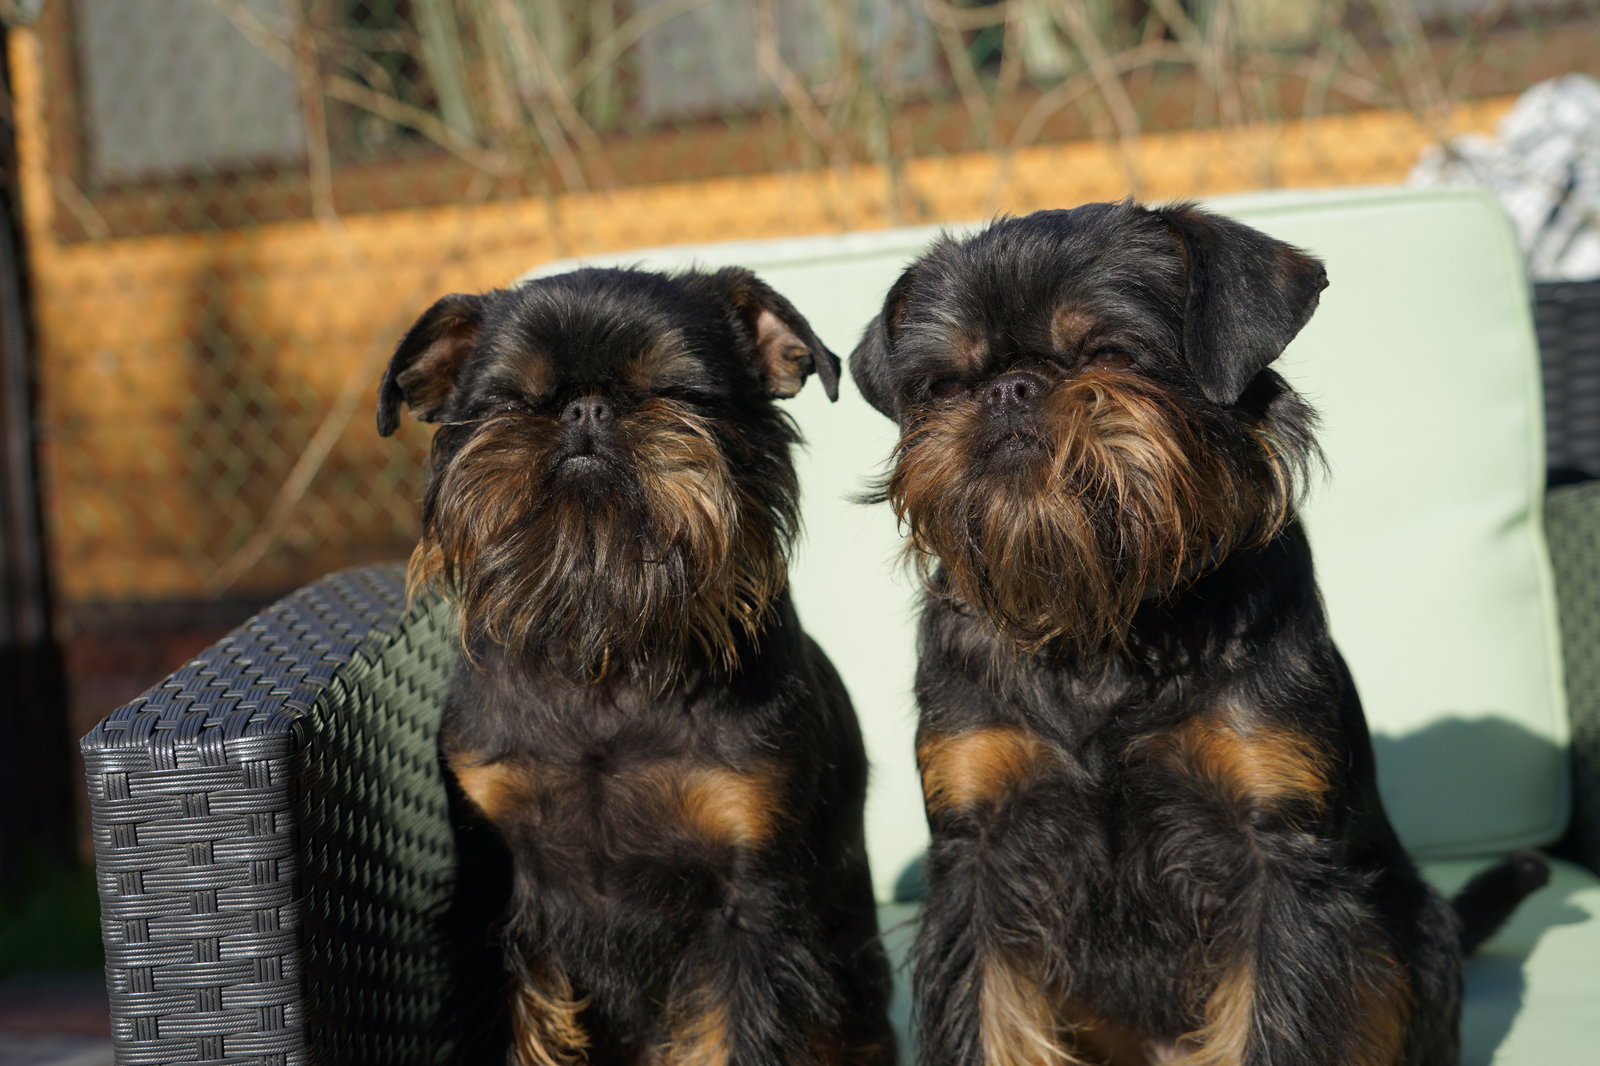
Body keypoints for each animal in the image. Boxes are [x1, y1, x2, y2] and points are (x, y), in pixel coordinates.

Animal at [378, 266, 895, 1066]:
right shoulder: (495, 900)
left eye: (677, 391)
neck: (606, 653)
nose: (587, 405)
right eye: (509, 399)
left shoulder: (748, 909)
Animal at [848, 202, 1548, 1066]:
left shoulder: (1275, 862)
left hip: (1415, 933)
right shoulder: (976, 860)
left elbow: (1271, 1030)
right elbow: (987, 1028)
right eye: (946, 385)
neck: (1105, 625)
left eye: (1111, 353)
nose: (1011, 388)